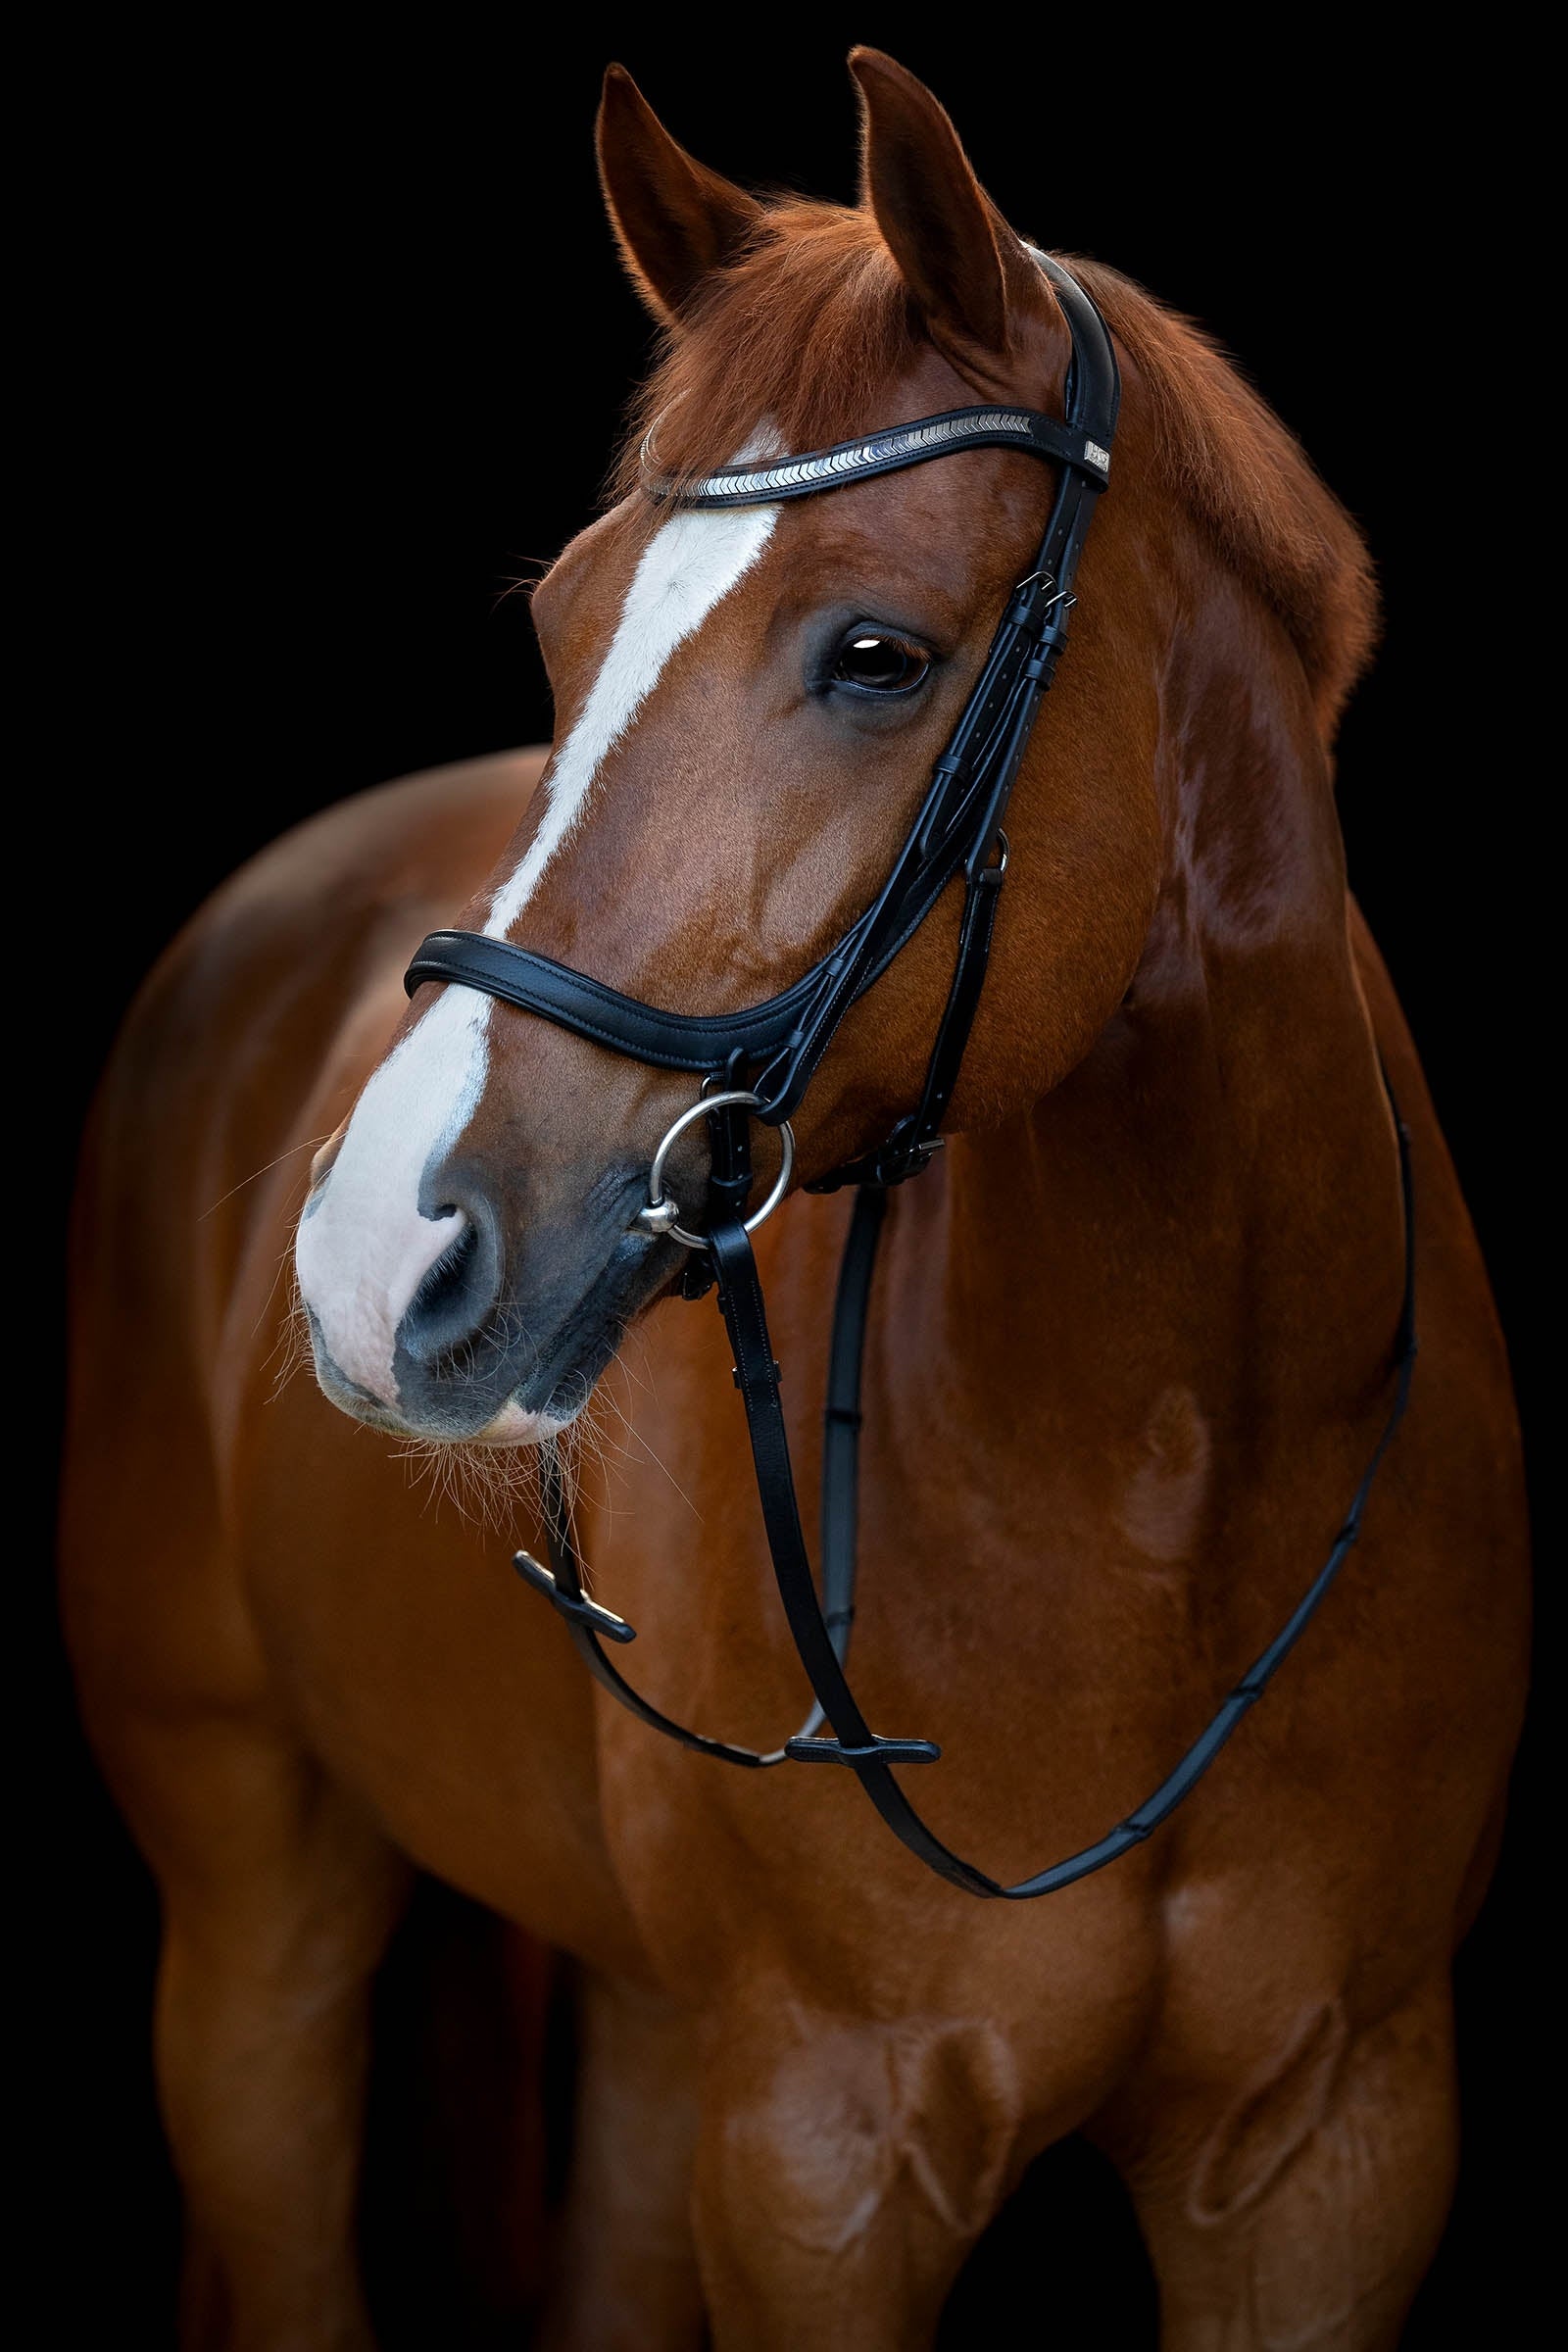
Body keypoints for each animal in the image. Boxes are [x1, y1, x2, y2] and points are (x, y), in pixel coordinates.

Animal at [62, 47, 1528, 2351]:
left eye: (874, 652)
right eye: (562, 620)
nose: (378, 1252)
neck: (1169, 1485)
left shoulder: (1330, 2155)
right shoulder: (824, 2165)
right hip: (255, 1902)